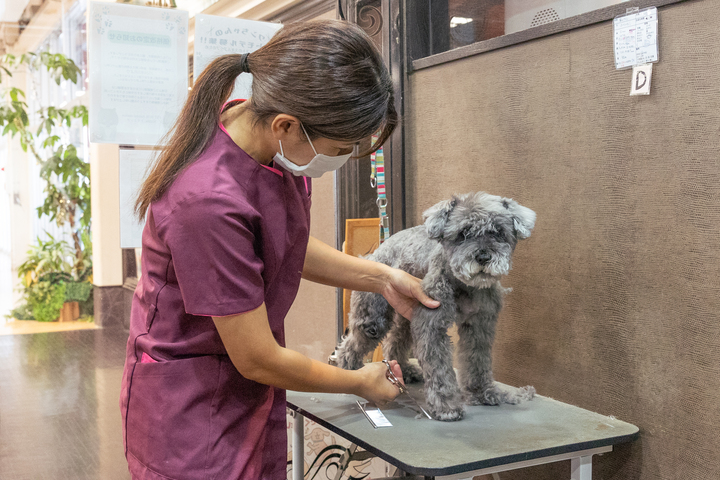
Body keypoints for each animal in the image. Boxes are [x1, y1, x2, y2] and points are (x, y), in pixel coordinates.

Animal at [336, 191, 536, 420]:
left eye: (499, 232)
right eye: (463, 233)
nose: (483, 257)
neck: (464, 285)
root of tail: (379, 249)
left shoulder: (479, 325)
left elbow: (478, 360)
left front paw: (481, 392)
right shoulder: (432, 325)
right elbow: (439, 367)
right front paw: (446, 406)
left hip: (406, 317)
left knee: (395, 342)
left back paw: (405, 370)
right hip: (373, 321)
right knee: (352, 345)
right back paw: (350, 372)